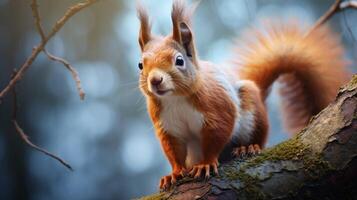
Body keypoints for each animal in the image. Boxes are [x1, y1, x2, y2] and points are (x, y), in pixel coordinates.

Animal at [136, 0, 348, 190]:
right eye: (140, 65)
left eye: (179, 61)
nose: (155, 80)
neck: (175, 98)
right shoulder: (167, 126)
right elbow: (173, 150)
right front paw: (175, 173)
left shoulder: (217, 106)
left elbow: (218, 132)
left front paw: (206, 163)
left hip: (252, 110)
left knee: (258, 138)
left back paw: (248, 147)